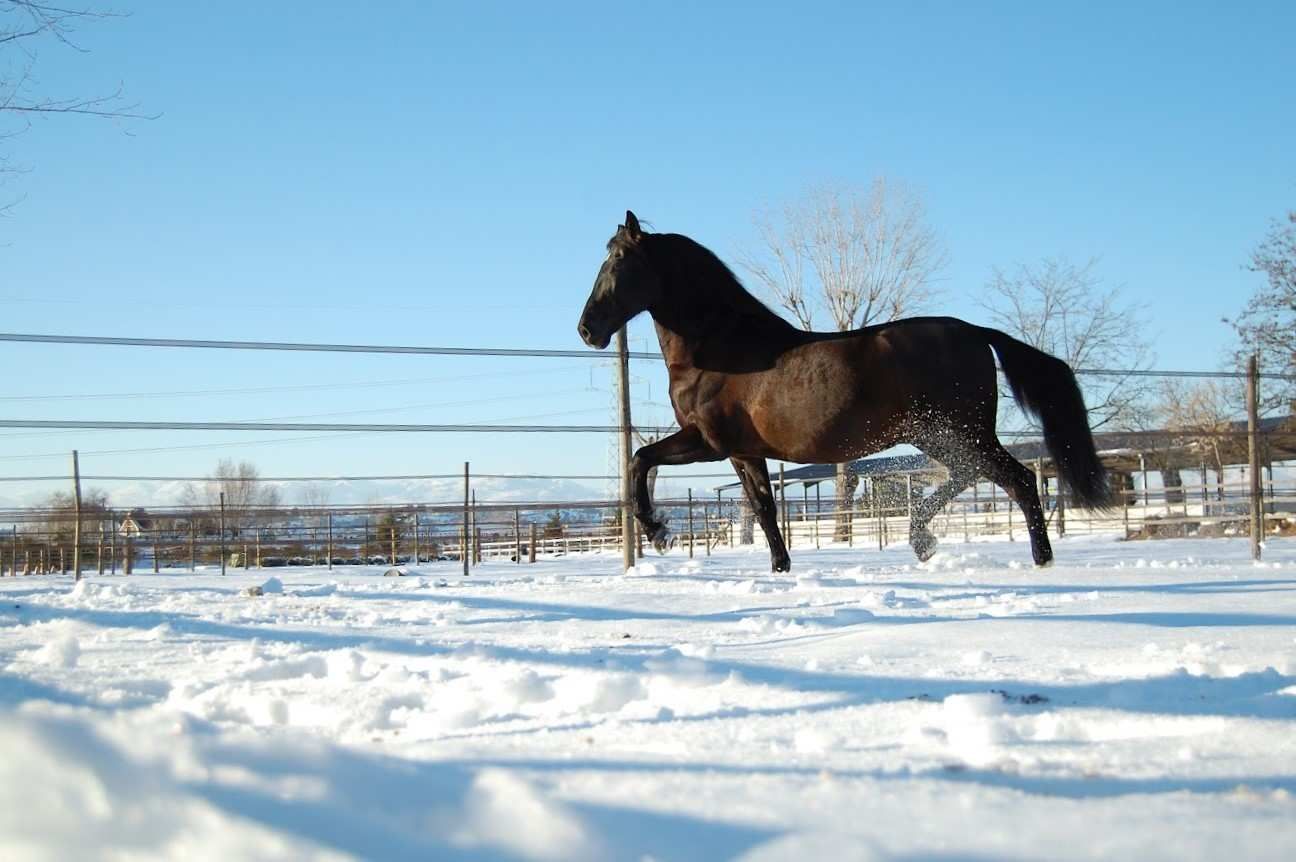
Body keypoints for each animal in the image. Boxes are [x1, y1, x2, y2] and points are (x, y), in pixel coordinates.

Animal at [577, 211, 1110, 572]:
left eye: (619, 258)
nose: (588, 329)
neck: (721, 348)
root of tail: (976, 332)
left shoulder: (708, 441)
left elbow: (640, 458)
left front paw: (658, 531)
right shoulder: (744, 452)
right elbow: (764, 509)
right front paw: (781, 570)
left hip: (961, 431)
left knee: (1016, 478)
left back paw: (1039, 561)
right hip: (936, 434)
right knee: (972, 474)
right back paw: (922, 539)